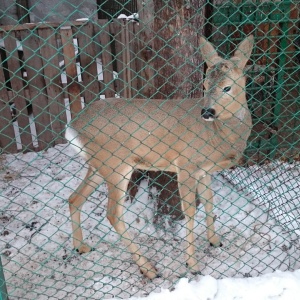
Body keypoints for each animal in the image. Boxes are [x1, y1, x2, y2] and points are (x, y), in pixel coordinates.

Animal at [65, 35, 253, 278]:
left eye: (227, 87)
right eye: (204, 85)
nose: (207, 112)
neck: (218, 134)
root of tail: (73, 127)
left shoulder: (204, 170)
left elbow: (209, 202)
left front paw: (214, 240)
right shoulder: (186, 164)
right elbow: (190, 212)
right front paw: (192, 264)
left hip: (99, 165)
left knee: (74, 198)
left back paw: (81, 246)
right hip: (116, 164)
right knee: (113, 213)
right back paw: (147, 268)